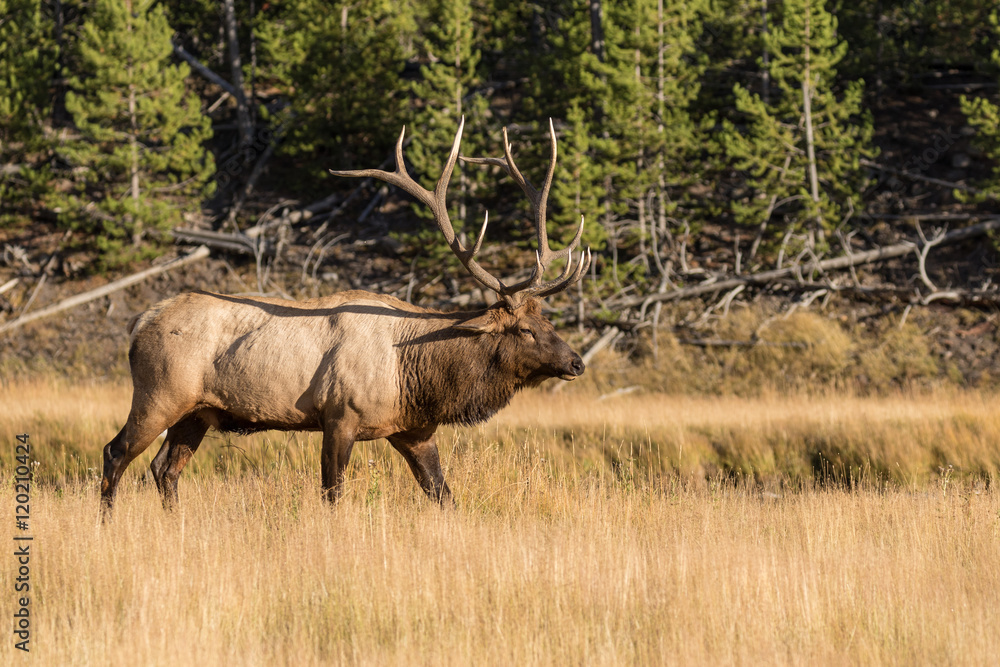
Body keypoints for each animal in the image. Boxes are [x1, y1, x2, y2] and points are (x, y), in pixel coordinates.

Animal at [100, 118, 590, 514]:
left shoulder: (414, 430)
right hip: (159, 394)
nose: (576, 362)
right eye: (525, 330)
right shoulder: (339, 415)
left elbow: (443, 495)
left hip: (198, 411)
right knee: (115, 453)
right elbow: (332, 494)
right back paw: (106, 523)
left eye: (549, 322)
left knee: (164, 468)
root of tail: (138, 322)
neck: (418, 375)